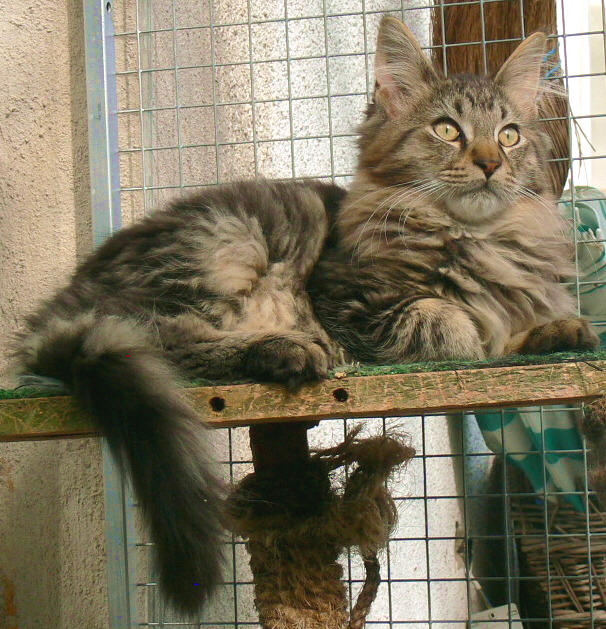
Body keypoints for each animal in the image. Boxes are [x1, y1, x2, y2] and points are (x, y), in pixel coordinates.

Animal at [11, 15, 597, 615]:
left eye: (509, 134)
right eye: (447, 130)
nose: (489, 163)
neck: (478, 239)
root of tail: (64, 301)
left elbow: (512, 328)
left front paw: (558, 331)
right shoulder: (351, 303)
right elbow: (451, 323)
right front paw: (476, 331)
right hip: (224, 247)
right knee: (170, 342)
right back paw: (284, 350)